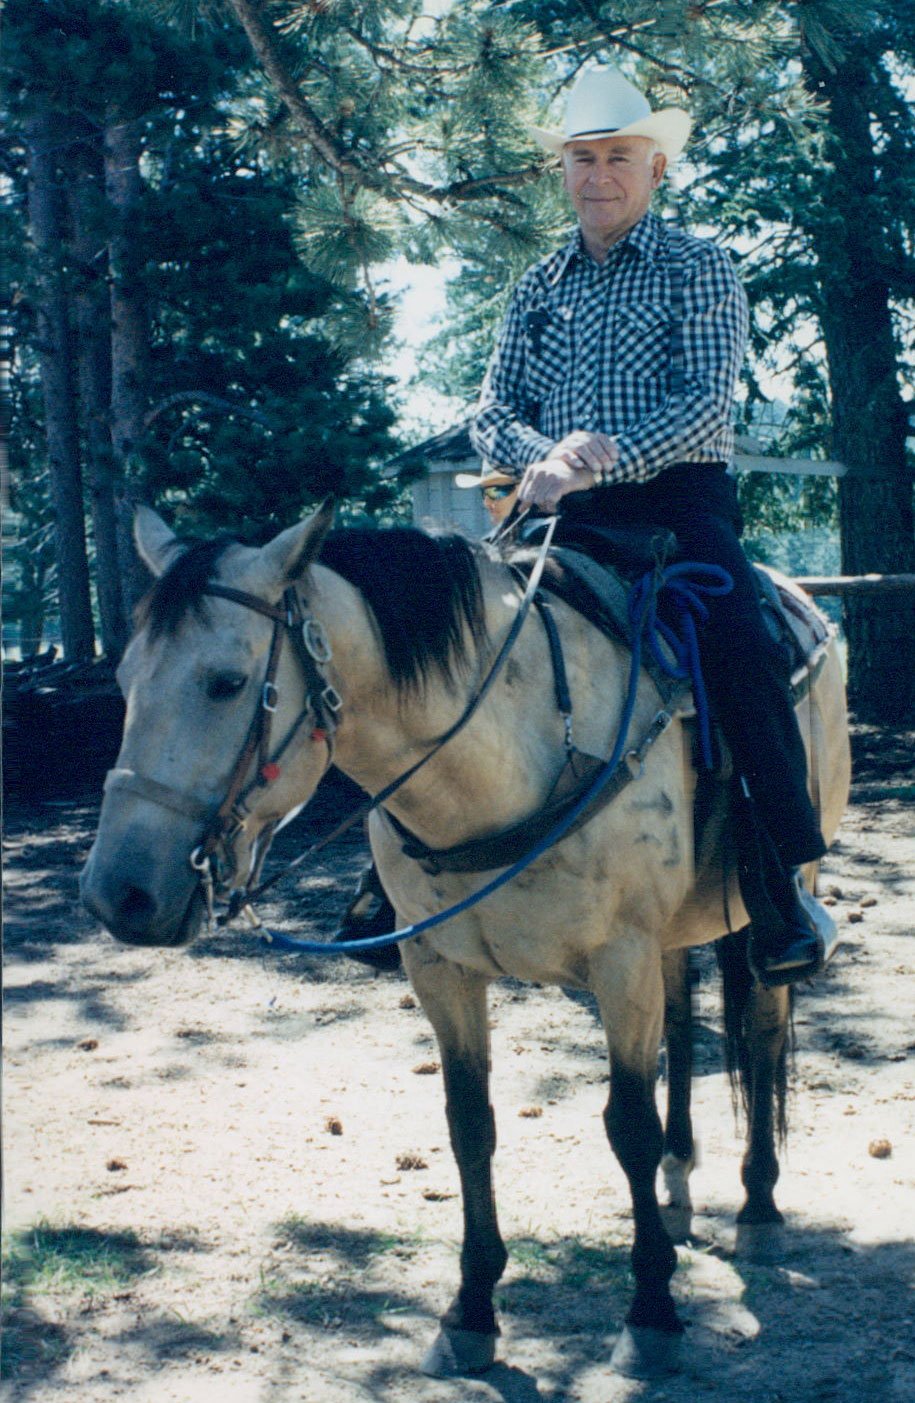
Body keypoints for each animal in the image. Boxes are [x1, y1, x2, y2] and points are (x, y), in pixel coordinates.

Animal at [80, 505, 853, 1380]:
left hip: (783, 892)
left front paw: (651, 1312)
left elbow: (626, 1122)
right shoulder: (440, 968)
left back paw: (757, 1204)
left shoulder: (618, 961)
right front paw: (471, 1310)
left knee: (760, 1031)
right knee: (686, 1029)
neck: (511, 753)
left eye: (226, 682)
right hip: (669, 934)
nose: (118, 894)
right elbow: (469, 1125)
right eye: (124, 681)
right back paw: (679, 1180)